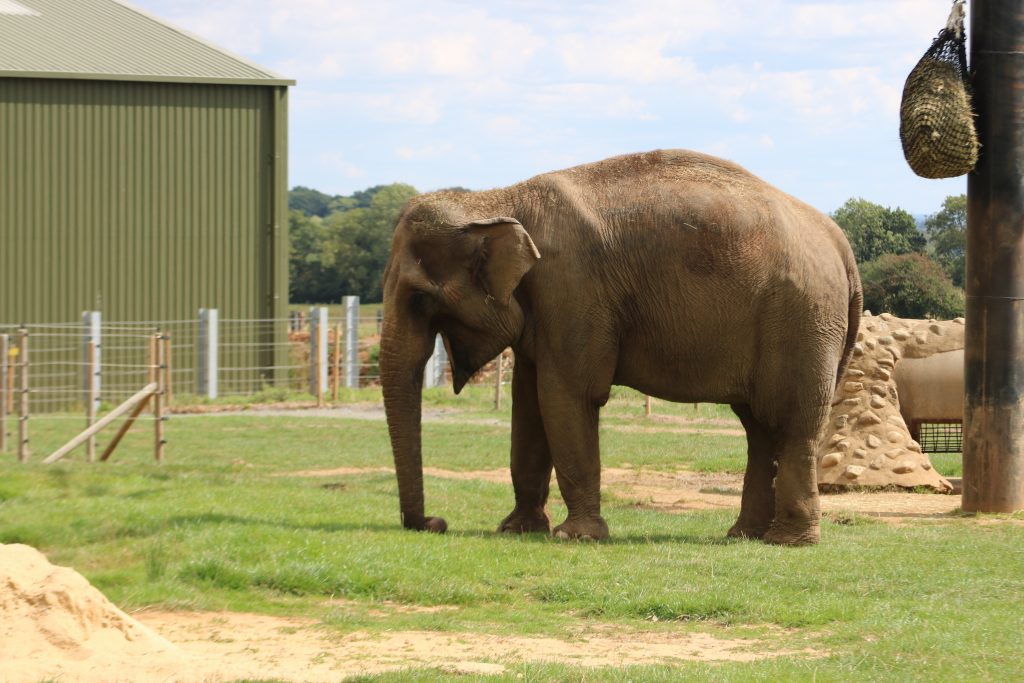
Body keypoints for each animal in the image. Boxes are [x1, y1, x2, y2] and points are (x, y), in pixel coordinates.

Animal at [380, 149, 862, 546]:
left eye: (419, 299)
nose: (435, 523)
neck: (497, 198)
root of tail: (842, 246)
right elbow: (528, 406)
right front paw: (516, 530)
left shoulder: (573, 290)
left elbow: (567, 397)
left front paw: (575, 537)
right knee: (759, 428)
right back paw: (745, 536)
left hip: (802, 320)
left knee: (791, 423)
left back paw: (788, 542)